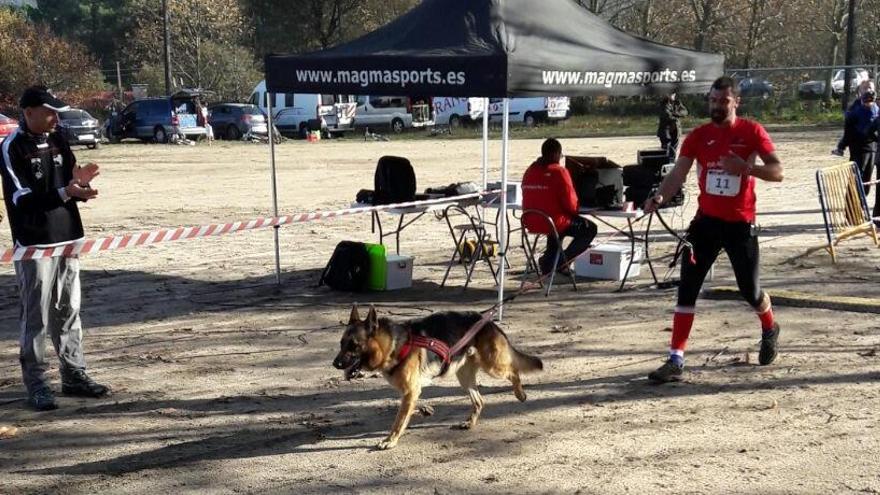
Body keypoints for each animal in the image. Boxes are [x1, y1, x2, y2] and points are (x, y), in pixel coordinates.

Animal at [332, 304, 544, 452]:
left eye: (354, 345)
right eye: (341, 343)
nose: (335, 364)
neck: (392, 345)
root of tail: (488, 321)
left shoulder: (410, 390)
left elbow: (398, 421)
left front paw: (389, 440)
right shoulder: (410, 391)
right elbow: (407, 409)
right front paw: (424, 410)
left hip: (493, 366)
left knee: (513, 371)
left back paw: (520, 393)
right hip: (464, 376)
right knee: (479, 400)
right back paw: (470, 422)